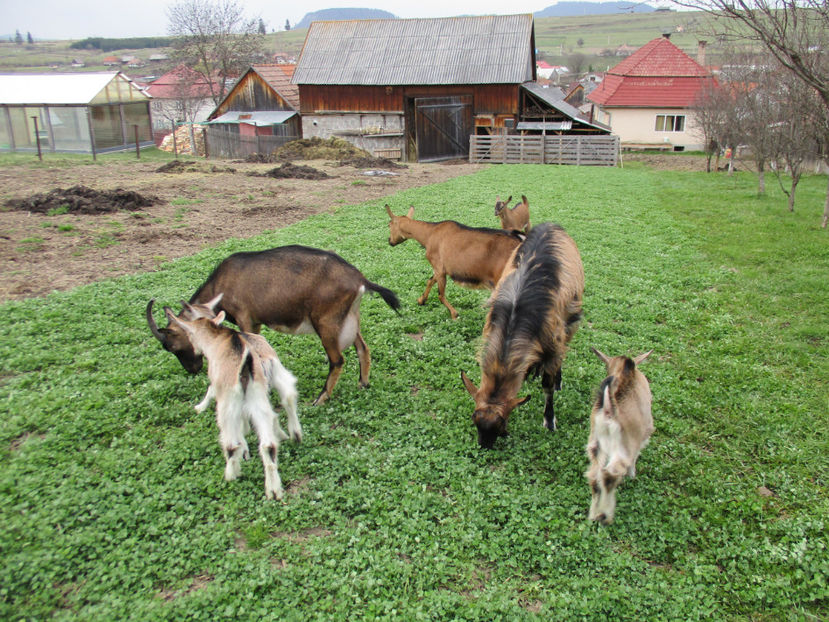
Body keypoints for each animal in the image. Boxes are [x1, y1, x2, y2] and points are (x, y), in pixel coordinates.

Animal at [146, 246, 402, 408]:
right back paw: (363, 383)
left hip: (326, 324)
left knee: (337, 360)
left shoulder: (245, 318)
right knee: (363, 348)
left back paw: (320, 399)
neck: (223, 283)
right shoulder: (255, 321)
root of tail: (360, 280)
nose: (193, 369)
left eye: (171, 345)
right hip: (348, 319)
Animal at [163, 302, 302, 502]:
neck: (220, 339)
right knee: (278, 417)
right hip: (263, 388)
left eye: (190, 335)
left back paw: (232, 473)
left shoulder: (219, 383)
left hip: (229, 402)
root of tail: (247, 360)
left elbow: (211, 391)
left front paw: (199, 407)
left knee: (230, 441)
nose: (195, 351)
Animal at [384, 206, 520, 320]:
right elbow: (430, 281)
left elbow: (440, 294)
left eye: (389, 225)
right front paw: (421, 300)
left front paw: (454, 314)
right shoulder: (440, 268)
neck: (430, 234)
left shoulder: (438, 266)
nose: (390, 241)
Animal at [460, 222, 584, 450]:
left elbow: (547, 386)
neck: (517, 312)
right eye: (474, 419)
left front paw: (549, 421)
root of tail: (551, 224)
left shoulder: (553, 344)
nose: (484, 445)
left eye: (502, 423)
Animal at [584, 348, 652, 524]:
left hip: (595, 442)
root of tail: (609, 410)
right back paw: (605, 516)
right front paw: (632, 474)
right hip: (622, 447)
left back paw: (594, 515)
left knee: (594, 475)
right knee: (609, 474)